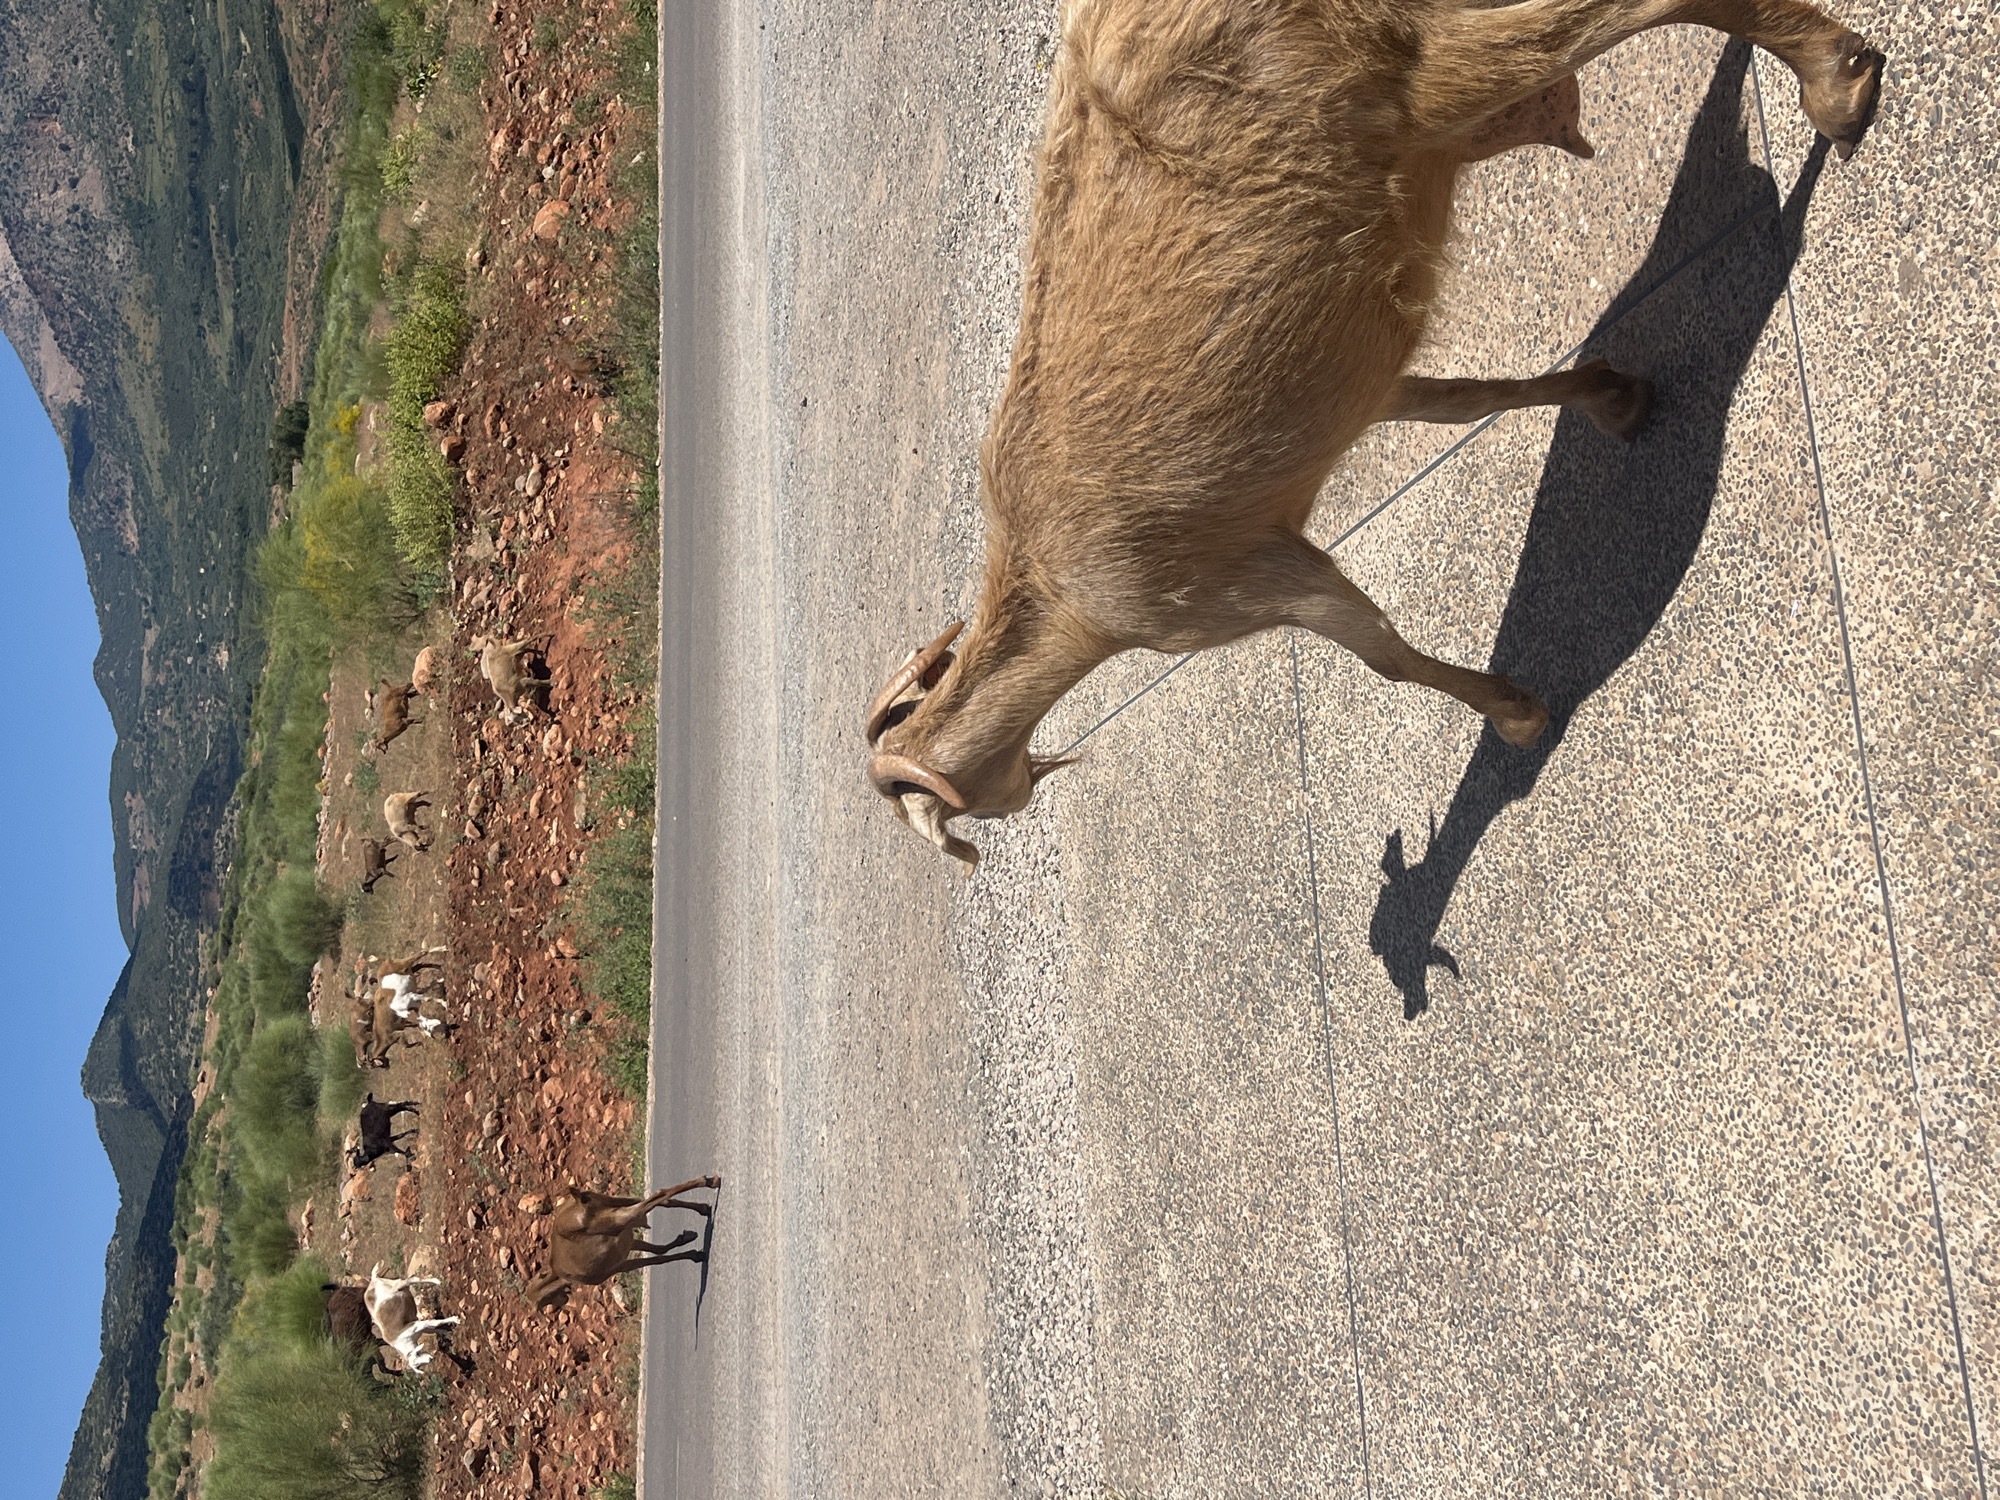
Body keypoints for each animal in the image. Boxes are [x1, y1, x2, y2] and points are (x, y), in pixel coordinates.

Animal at [522, 1177, 721, 1312]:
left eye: (543, 1302)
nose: (558, 1305)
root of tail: (579, 1200)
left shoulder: (618, 1266)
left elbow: (657, 1259)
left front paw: (695, 1254)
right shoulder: (627, 1242)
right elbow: (658, 1250)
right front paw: (685, 1239)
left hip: (618, 1218)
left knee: (658, 1195)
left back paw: (710, 1185)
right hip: (616, 1203)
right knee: (661, 1200)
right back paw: (706, 1198)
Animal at [862, 0, 1883, 869]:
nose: (1033, 785)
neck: (1064, 602)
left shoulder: (1252, 580)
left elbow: (1382, 655)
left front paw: (1518, 716)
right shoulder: (1369, 397)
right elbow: (1461, 400)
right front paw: (1612, 396)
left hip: (1413, 74)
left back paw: (1837, 88)